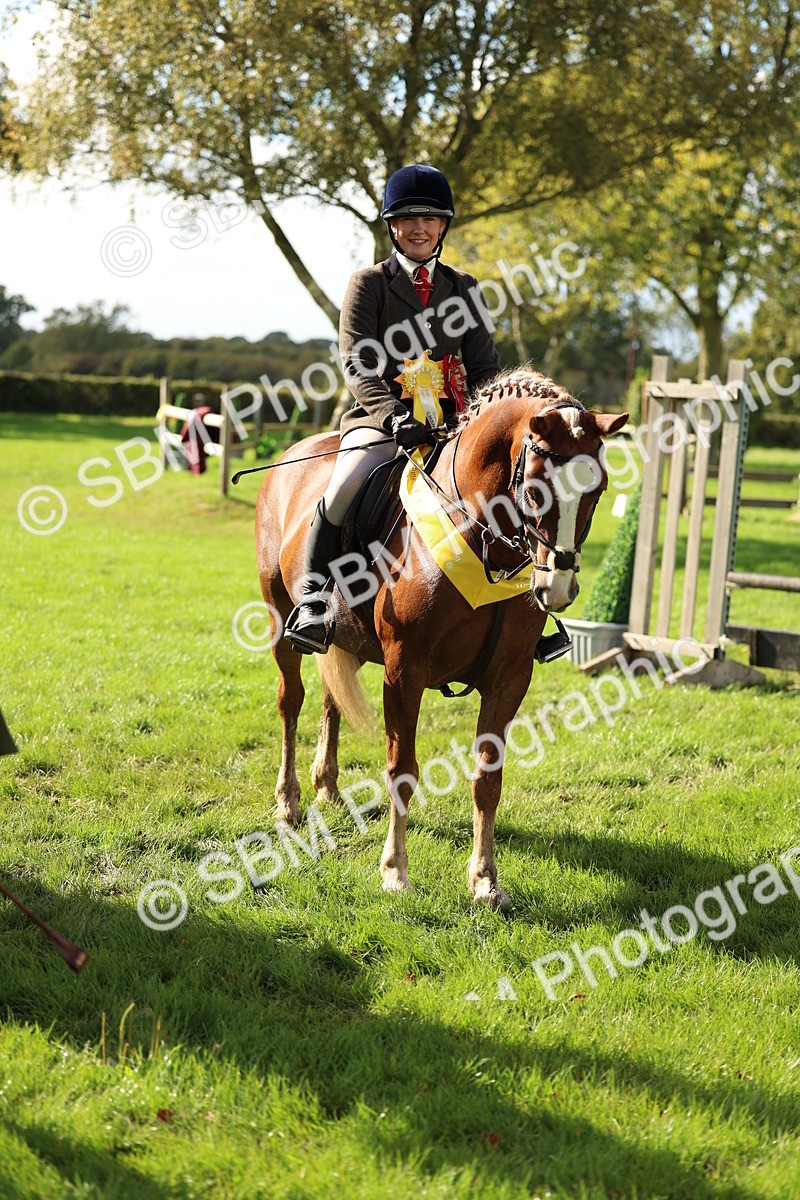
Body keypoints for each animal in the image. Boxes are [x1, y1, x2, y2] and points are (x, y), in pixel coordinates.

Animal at [255, 368, 628, 911]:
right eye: (536, 491)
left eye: (597, 491)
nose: (557, 589)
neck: (483, 537)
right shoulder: (404, 671)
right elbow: (401, 769)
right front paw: (394, 871)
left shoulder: (509, 678)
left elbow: (488, 779)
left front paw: (485, 881)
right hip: (279, 617)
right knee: (292, 700)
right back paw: (289, 802)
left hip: (344, 638)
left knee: (330, 699)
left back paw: (327, 787)